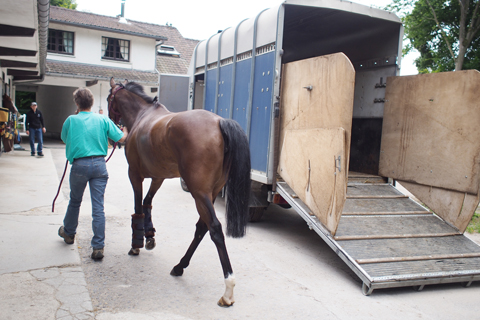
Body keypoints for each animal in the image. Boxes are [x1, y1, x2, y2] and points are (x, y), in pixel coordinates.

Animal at [106, 77, 249, 308]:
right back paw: (180, 266)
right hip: (210, 193)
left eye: (109, 99)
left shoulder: (134, 174)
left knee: (214, 229)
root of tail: (219, 123)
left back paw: (228, 289)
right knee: (201, 228)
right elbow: (147, 202)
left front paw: (136, 245)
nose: (113, 134)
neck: (143, 116)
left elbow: (138, 207)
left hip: (199, 193)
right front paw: (149, 235)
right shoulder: (158, 177)